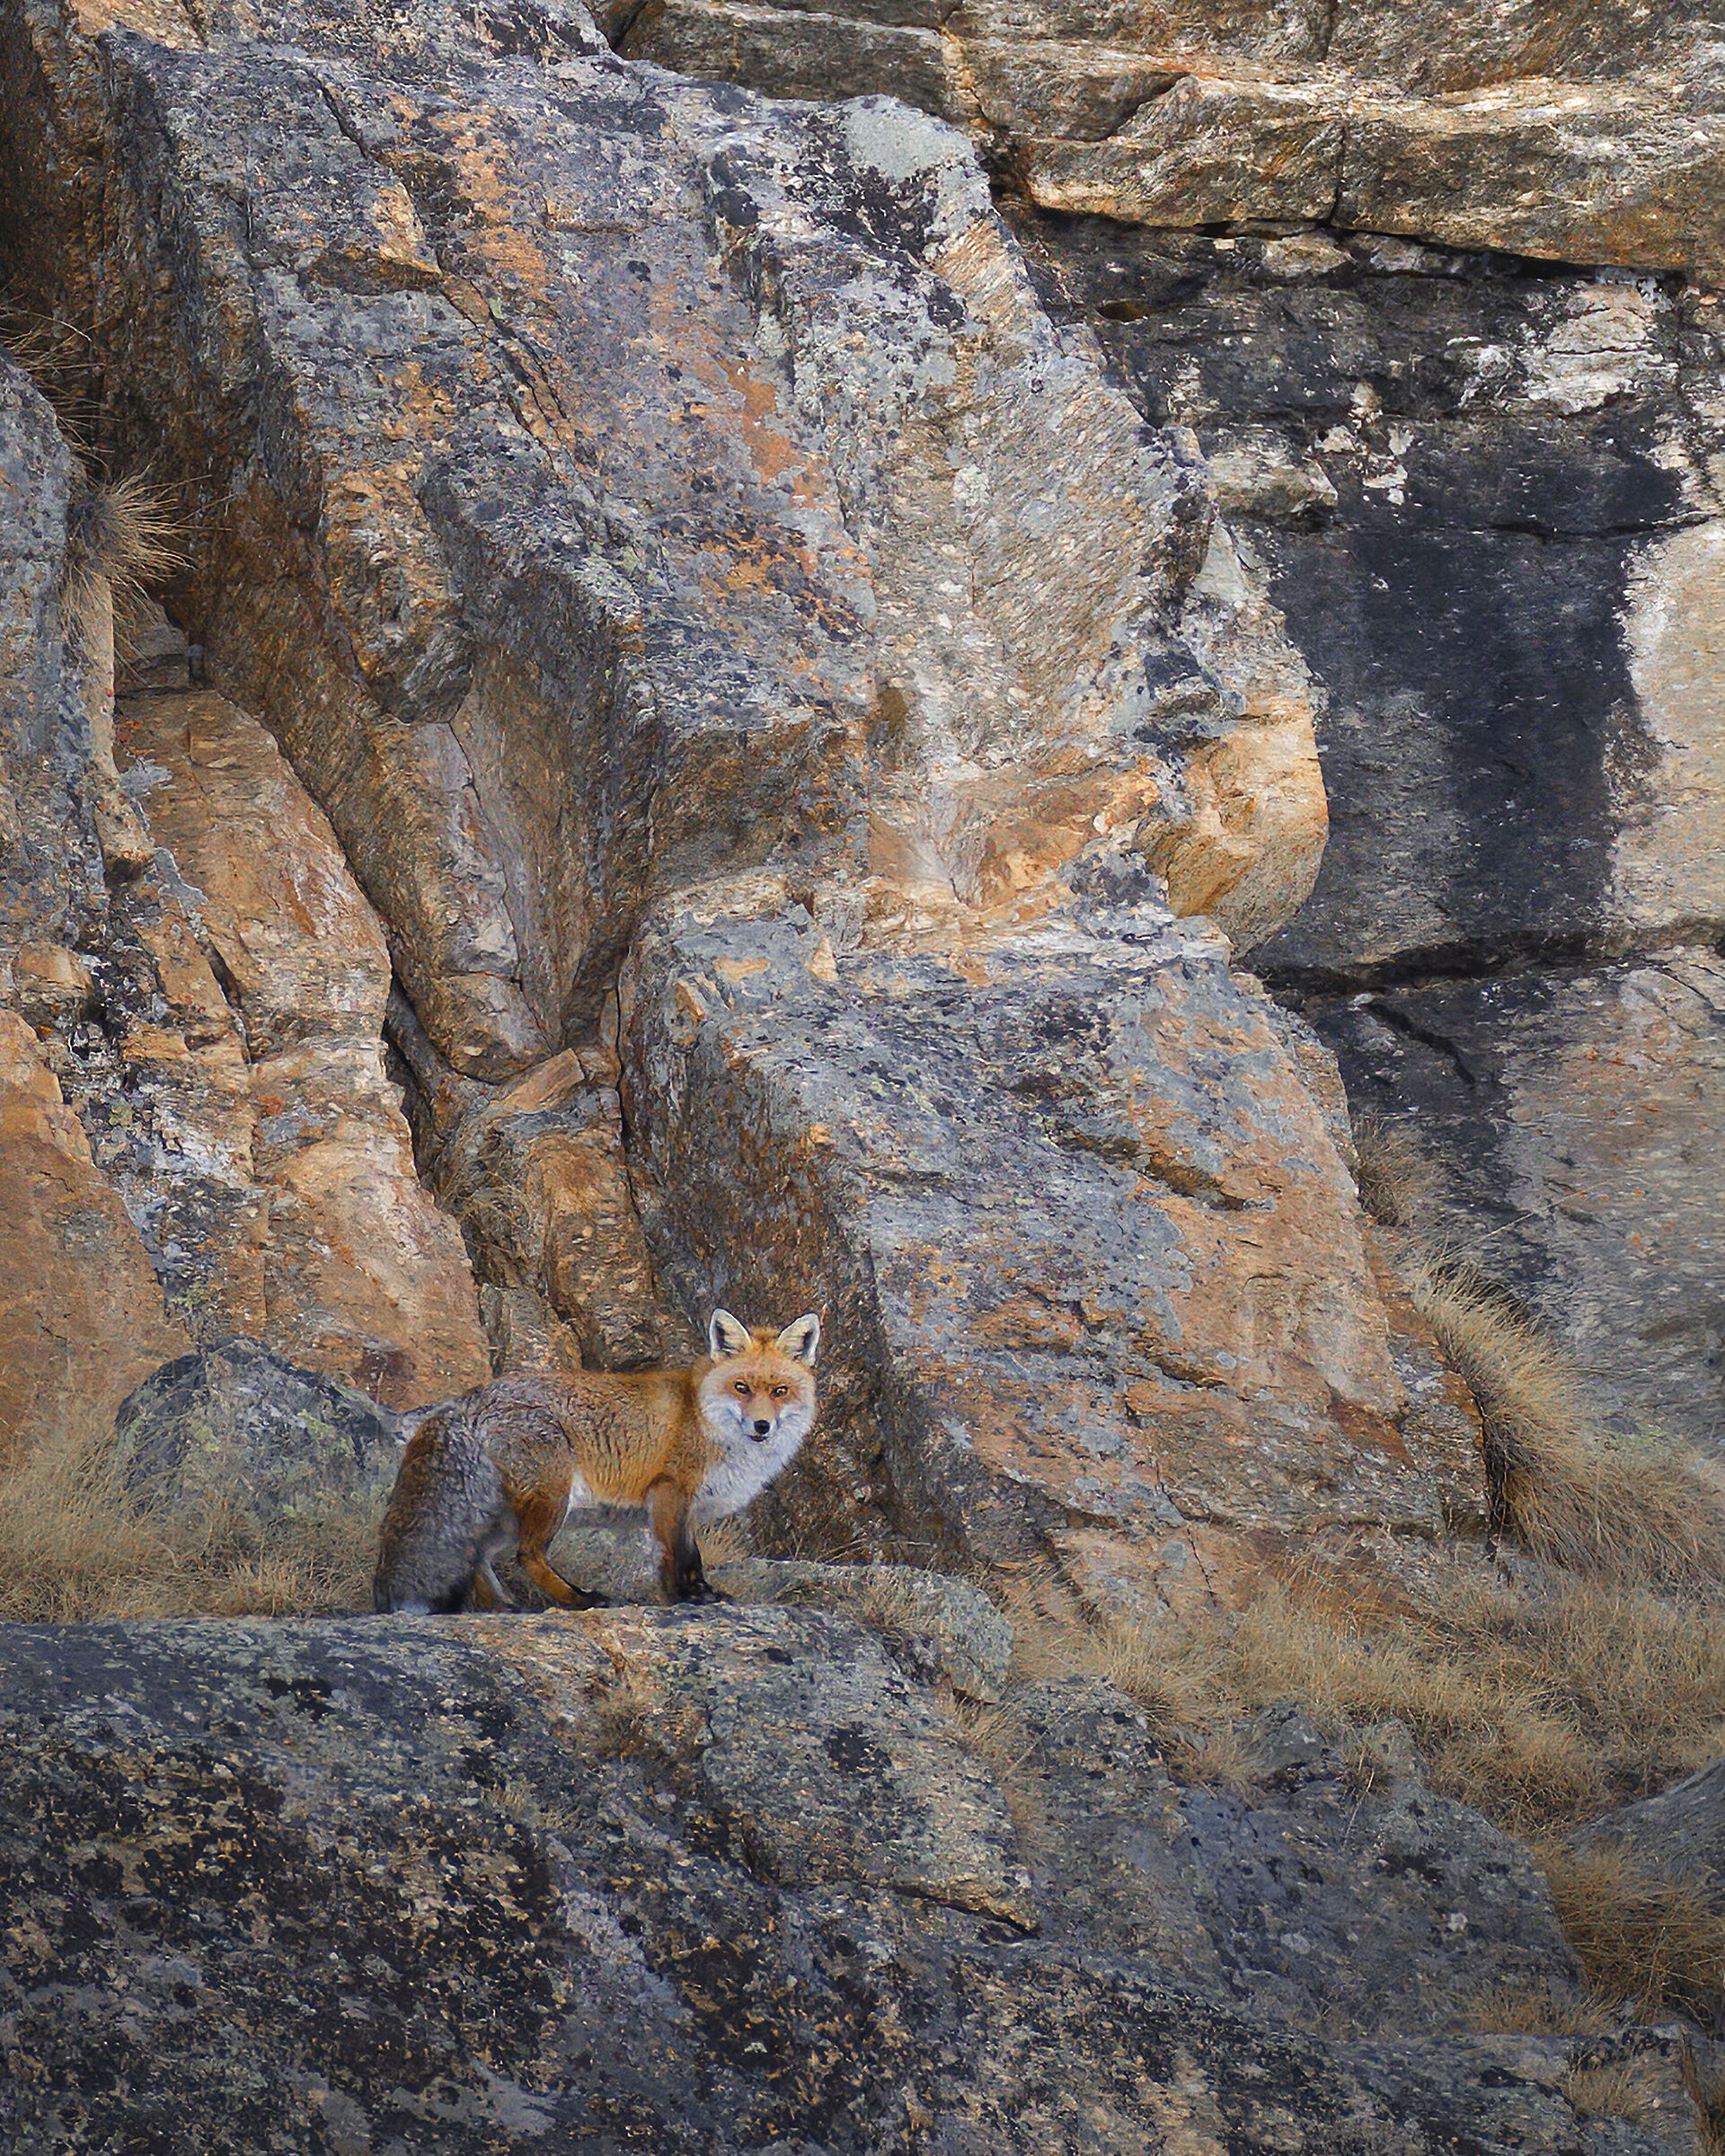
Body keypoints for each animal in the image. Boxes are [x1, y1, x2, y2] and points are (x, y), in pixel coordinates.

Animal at [372, 1309, 821, 1615]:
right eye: (741, 1388)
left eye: (780, 1391)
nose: (762, 1425)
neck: (704, 1418)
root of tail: (467, 1400)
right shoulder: (669, 1492)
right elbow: (676, 1559)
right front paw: (682, 1599)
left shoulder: (687, 1509)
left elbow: (691, 1559)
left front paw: (700, 1595)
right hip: (552, 1498)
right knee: (527, 1556)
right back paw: (577, 1599)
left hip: (504, 1515)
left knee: (478, 1556)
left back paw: (504, 1607)